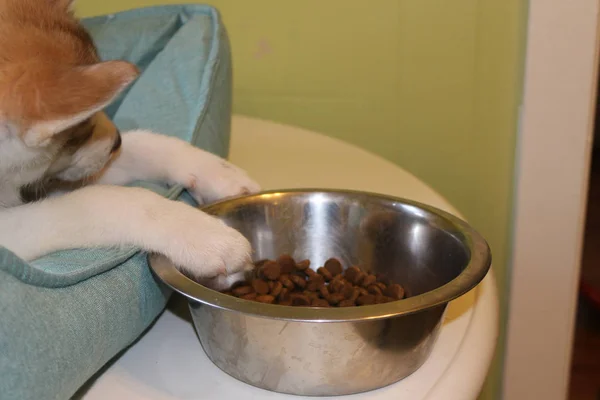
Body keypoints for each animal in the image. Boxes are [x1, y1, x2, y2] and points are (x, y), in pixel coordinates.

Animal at [0, 0, 260, 282]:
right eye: (79, 131)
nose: (116, 142)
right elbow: (98, 201)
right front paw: (203, 235)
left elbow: (143, 144)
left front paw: (217, 172)